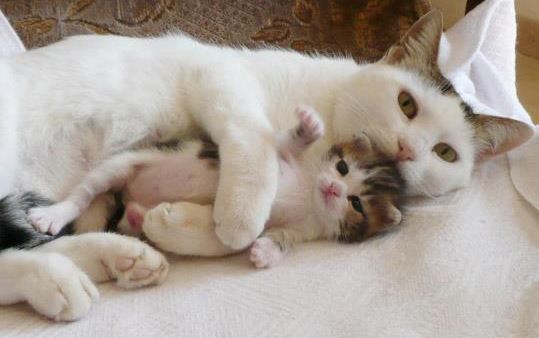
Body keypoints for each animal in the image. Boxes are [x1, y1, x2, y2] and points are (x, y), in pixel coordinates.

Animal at [0, 11, 532, 322]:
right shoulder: (218, 77)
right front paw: (240, 217)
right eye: (406, 104)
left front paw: (191, 226)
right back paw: (63, 273)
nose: (406, 147)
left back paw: (109, 261)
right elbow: (255, 143)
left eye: (445, 153)